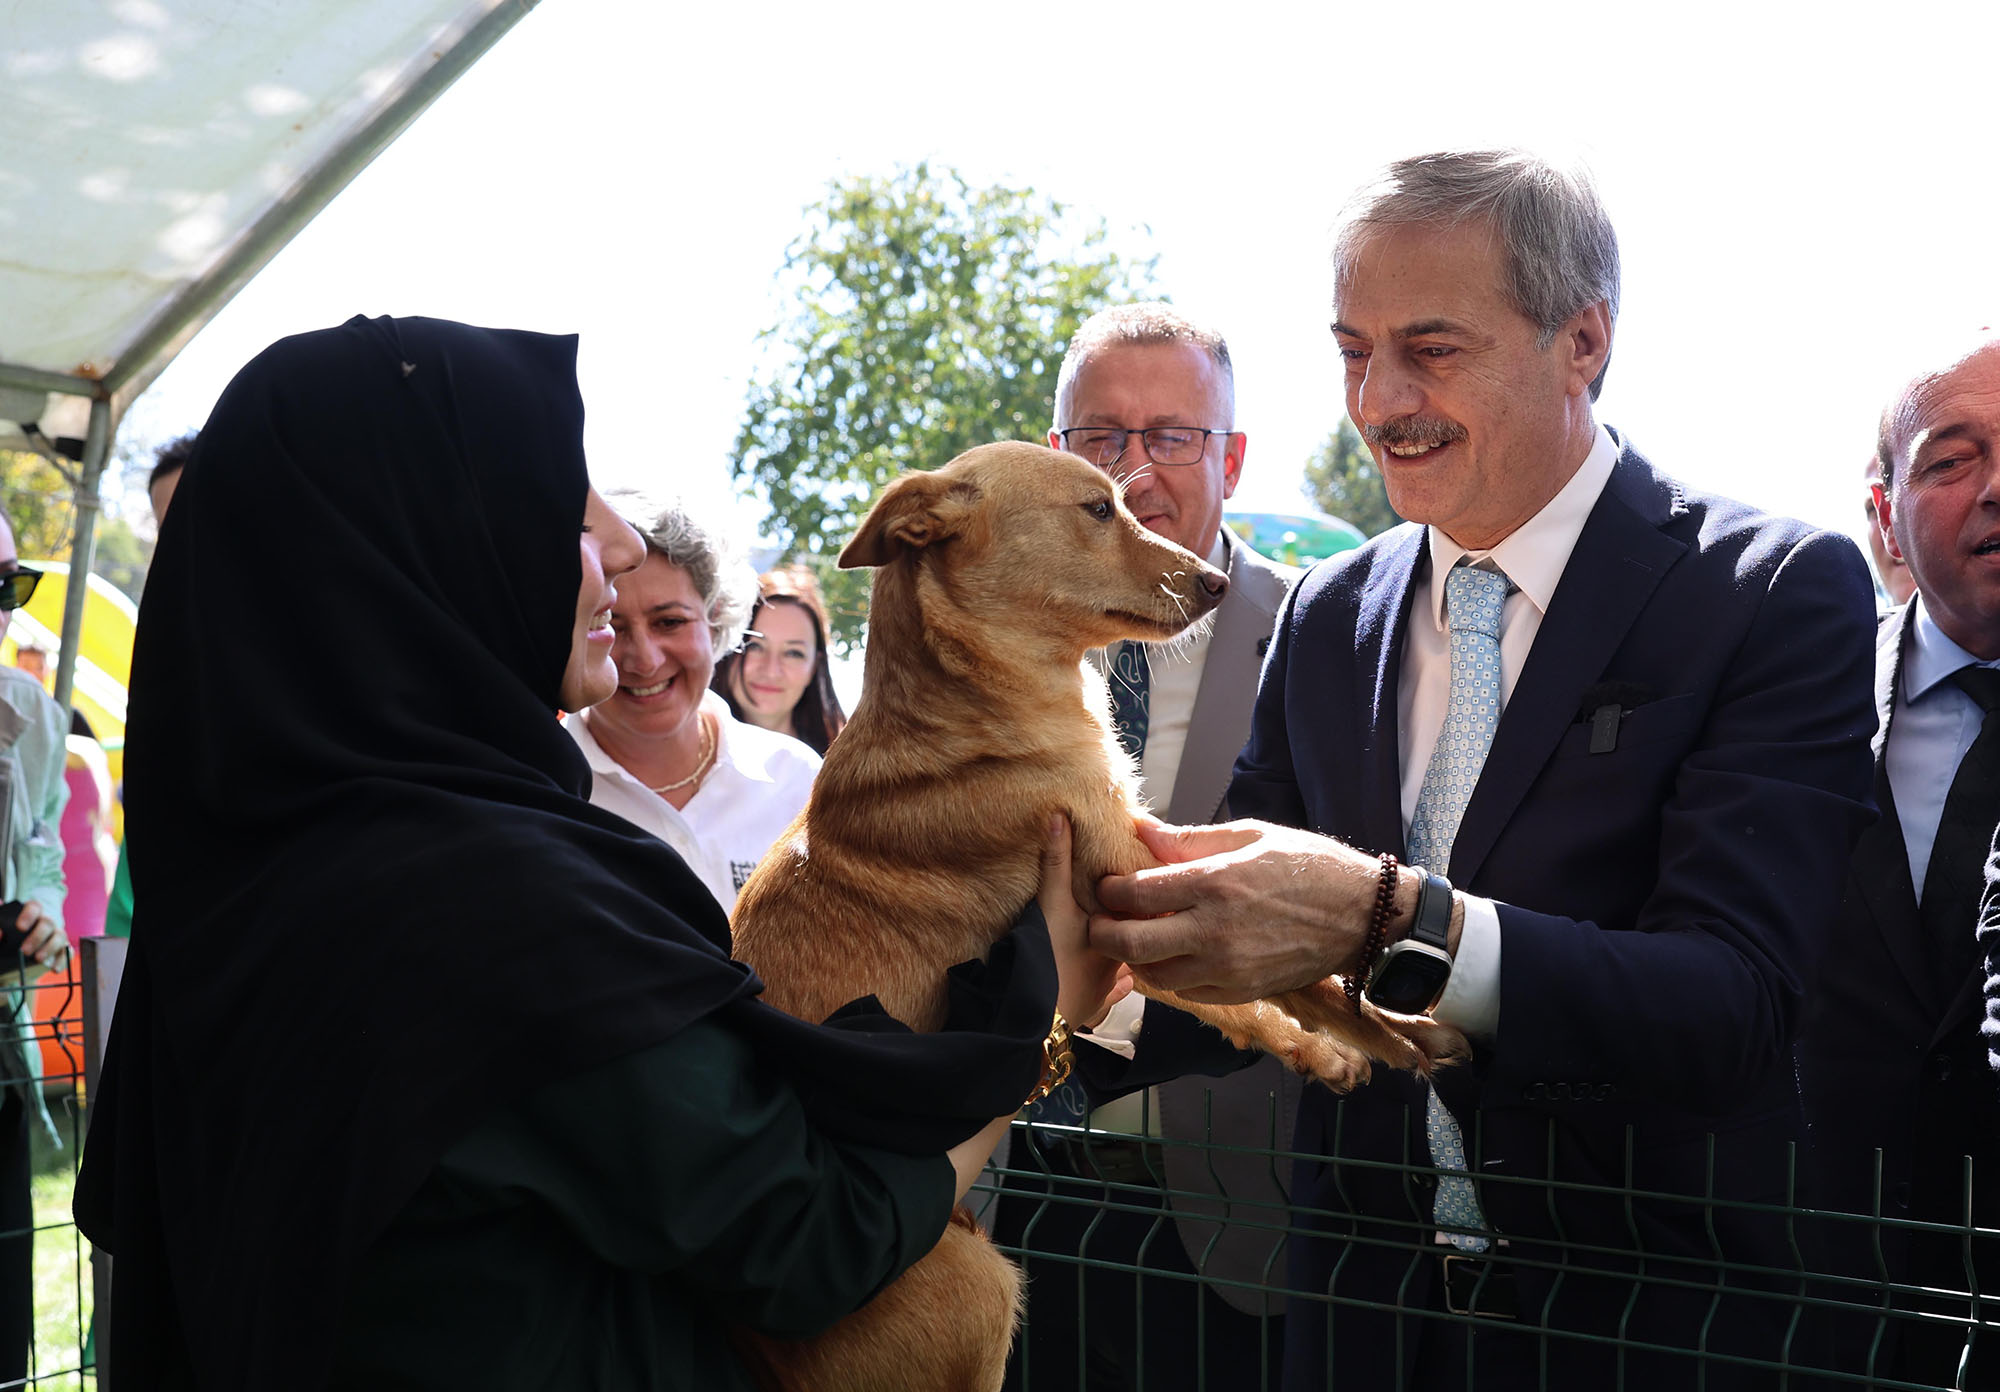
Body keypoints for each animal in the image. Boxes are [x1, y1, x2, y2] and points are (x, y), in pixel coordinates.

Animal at [728, 444, 1464, 1392]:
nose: (1217, 581)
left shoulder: (1155, 881)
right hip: (982, 1284)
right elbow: (1302, 983)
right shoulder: (1128, 892)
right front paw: (1397, 1036)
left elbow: (1247, 999)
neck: (978, 706)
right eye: (1098, 509)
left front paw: (1332, 1048)